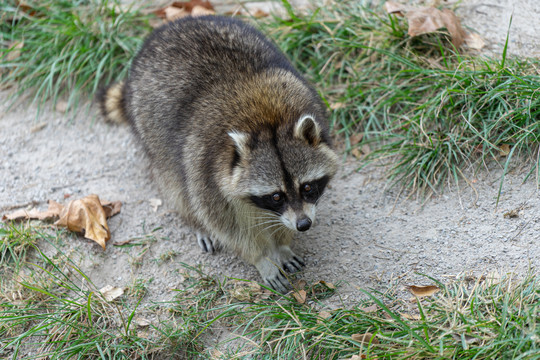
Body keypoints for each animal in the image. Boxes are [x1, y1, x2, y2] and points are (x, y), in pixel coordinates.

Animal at [99, 15, 338, 294]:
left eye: (308, 187)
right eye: (276, 196)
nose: (303, 225)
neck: (267, 122)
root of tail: (172, 25)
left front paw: (282, 244)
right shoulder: (205, 169)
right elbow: (227, 225)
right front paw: (263, 258)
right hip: (151, 131)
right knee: (175, 185)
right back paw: (195, 221)